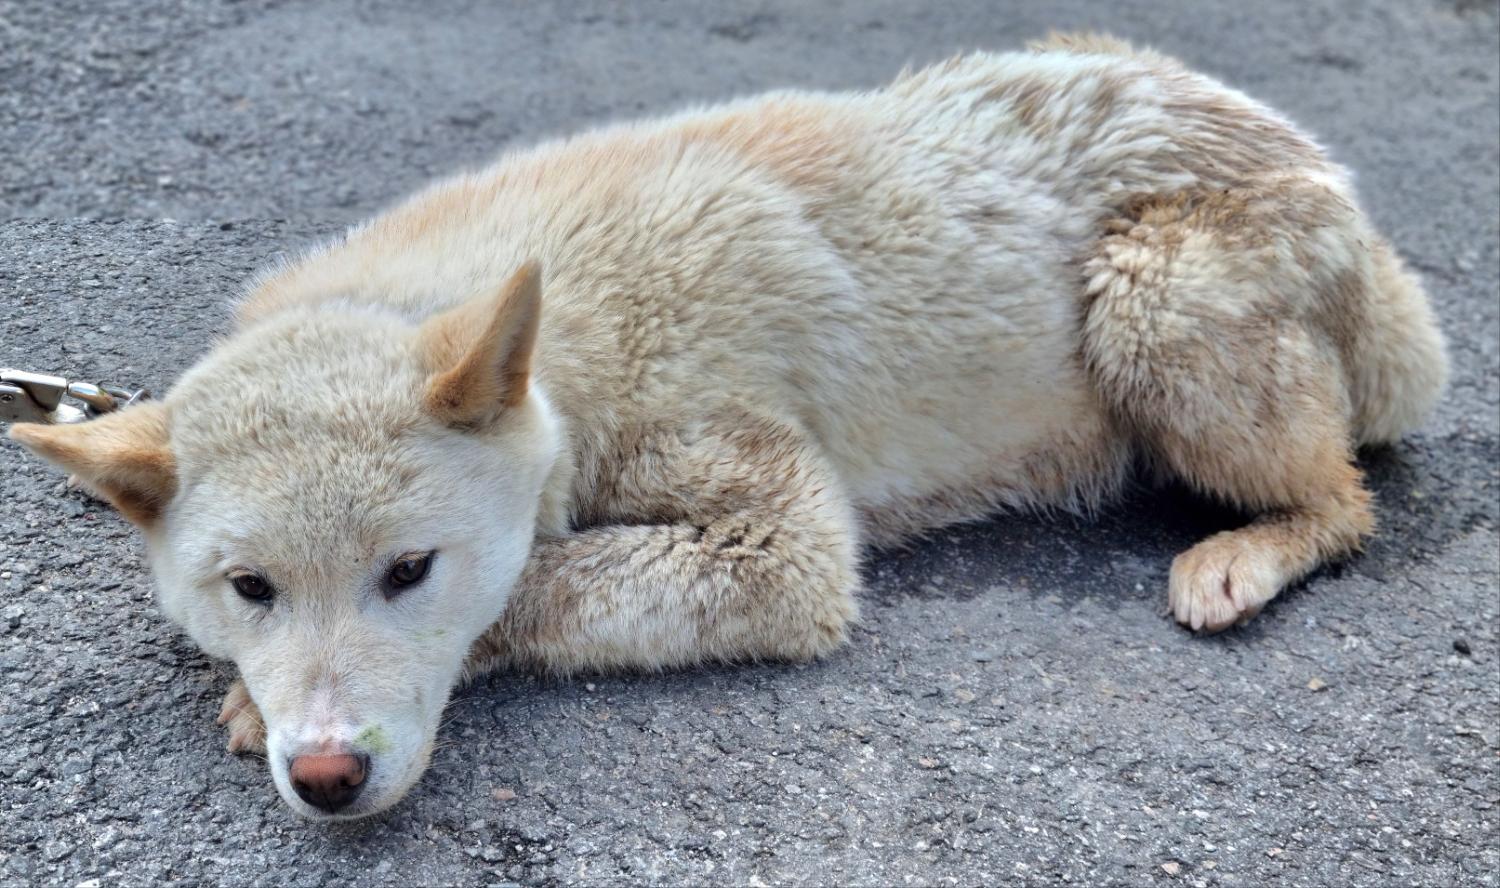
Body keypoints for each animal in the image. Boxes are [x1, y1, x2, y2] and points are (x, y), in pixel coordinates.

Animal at [5, 36, 1446, 816]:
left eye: (409, 572)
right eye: (248, 588)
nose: (328, 778)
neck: (566, 345)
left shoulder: (777, 541)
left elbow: (551, 580)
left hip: (1152, 303)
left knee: (1347, 501)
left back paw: (1252, 549)